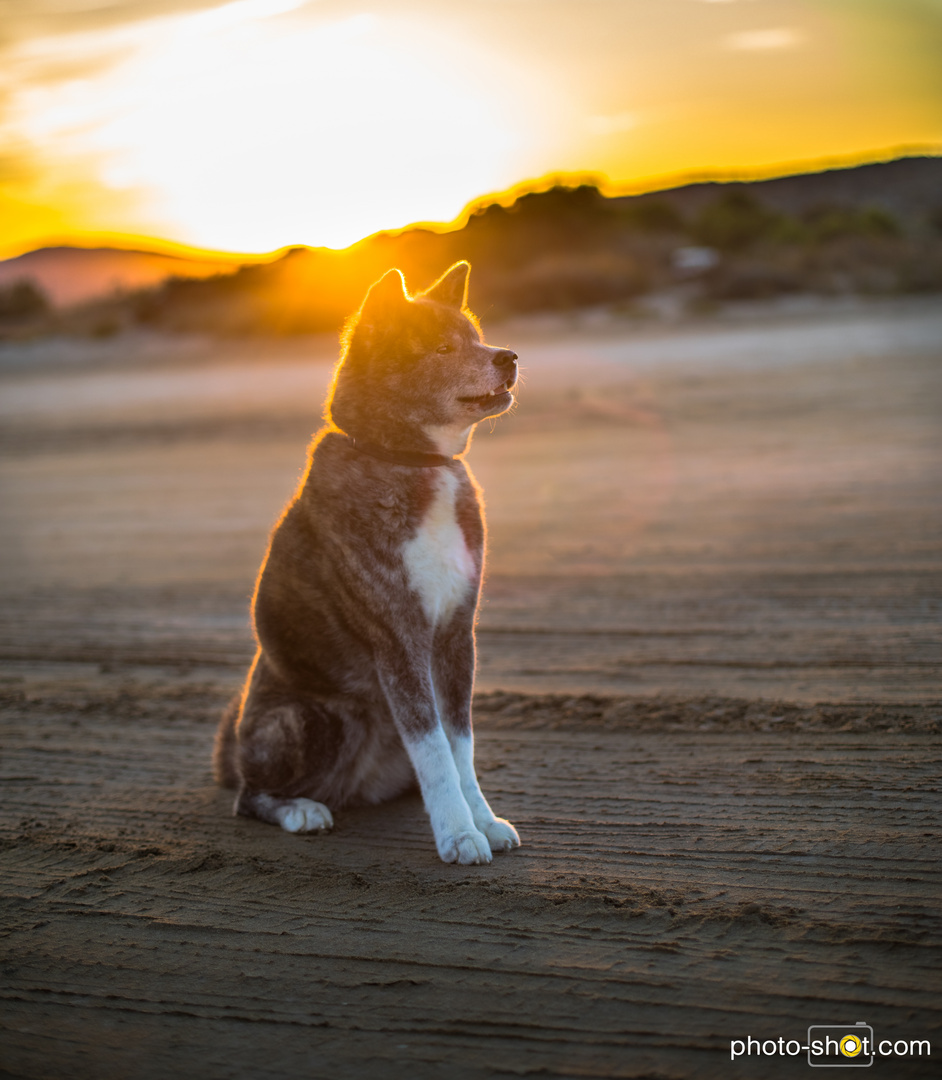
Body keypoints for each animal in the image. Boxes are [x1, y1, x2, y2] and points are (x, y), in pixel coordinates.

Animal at [212, 257, 518, 864]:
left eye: (476, 337)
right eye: (442, 348)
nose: (509, 356)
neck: (411, 461)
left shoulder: (456, 636)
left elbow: (459, 747)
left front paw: (481, 818)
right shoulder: (398, 637)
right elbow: (435, 750)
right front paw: (457, 833)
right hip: (319, 717)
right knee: (248, 796)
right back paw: (300, 809)